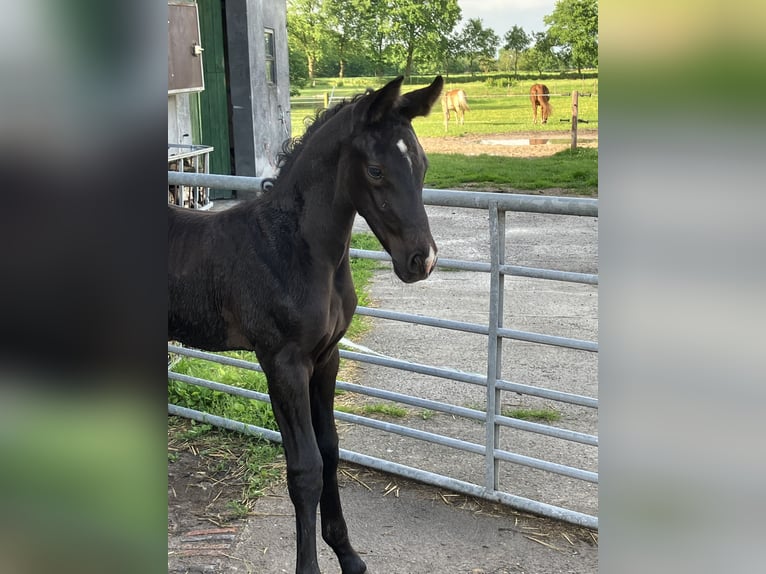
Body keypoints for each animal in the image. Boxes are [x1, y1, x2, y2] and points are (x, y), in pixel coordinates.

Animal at [170, 76, 440, 574]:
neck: (294, 249)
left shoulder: (326, 358)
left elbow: (330, 449)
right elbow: (305, 469)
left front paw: (349, 555)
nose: (422, 260)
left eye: (423, 164)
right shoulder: (283, 363)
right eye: (375, 170)